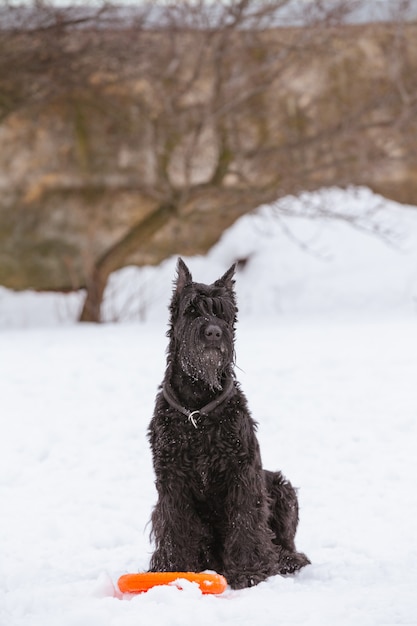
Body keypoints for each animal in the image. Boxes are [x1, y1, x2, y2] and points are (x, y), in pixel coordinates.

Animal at [147, 256, 308, 588]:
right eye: (192, 309)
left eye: (223, 312)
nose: (212, 333)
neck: (198, 408)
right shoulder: (172, 480)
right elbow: (174, 523)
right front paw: (172, 569)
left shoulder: (242, 473)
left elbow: (246, 520)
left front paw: (250, 571)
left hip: (280, 487)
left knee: (287, 543)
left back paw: (287, 560)